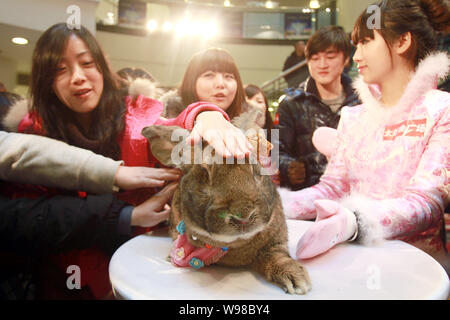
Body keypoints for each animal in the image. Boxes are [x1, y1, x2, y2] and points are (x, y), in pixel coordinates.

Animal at [142, 110, 312, 296]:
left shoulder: (276, 241)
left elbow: (276, 255)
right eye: (204, 172)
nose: (243, 217)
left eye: (257, 171)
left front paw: (296, 280)